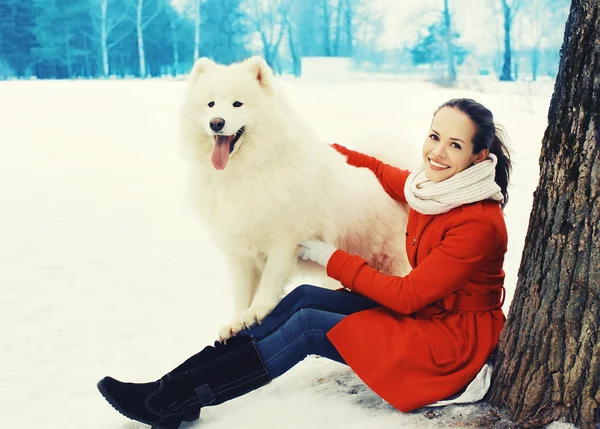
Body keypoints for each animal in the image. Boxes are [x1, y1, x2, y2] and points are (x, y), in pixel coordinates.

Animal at [179, 56, 412, 340]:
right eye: (210, 104)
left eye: (237, 104)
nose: (216, 122)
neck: (249, 171)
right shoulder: (239, 247)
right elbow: (241, 291)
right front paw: (235, 322)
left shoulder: (285, 240)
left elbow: (270, 280)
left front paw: (257, 312)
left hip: (390, 261)